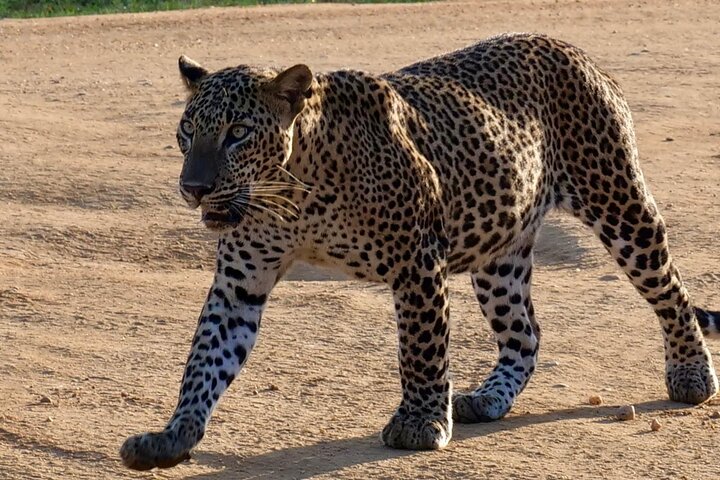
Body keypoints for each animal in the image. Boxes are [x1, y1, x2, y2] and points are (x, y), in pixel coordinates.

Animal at [120, 33, 720, 470]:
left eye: (239, 132)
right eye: (187, 130)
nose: (194, 188)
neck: (293, 193)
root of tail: (576, 52)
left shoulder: (417, 260)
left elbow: (421, 349)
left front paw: (421, 422)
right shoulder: (240, 281)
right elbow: (205, 360)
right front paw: (174, 434)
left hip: (620, 205)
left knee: (671, 293)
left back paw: (692, 376)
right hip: (498, 254)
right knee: (525, 334)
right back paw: (488, 399)